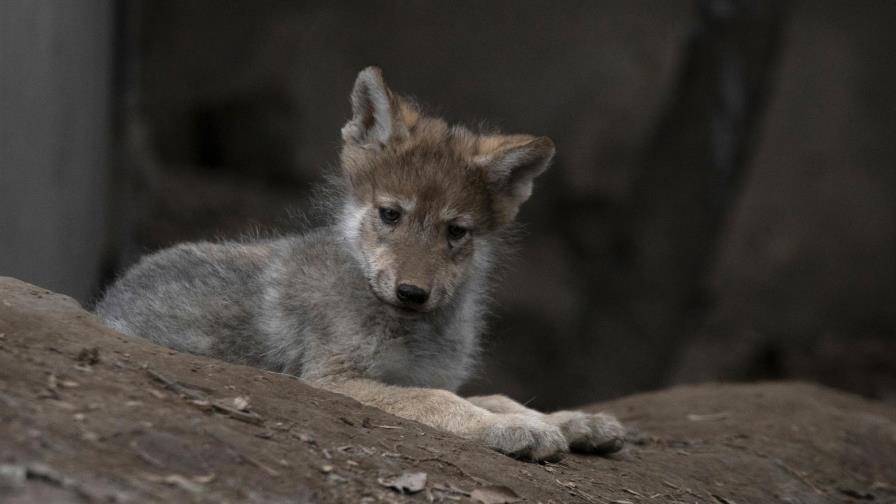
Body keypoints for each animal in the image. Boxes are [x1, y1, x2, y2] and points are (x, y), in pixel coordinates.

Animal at [96, 67, 625, 461]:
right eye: (391, 214)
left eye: (456, 231)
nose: (412, 292)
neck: (414, 329)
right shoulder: (336, 380)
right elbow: (442, 401)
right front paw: (518, 430)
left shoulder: (422, 375)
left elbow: (494, 397)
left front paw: (569, 421)